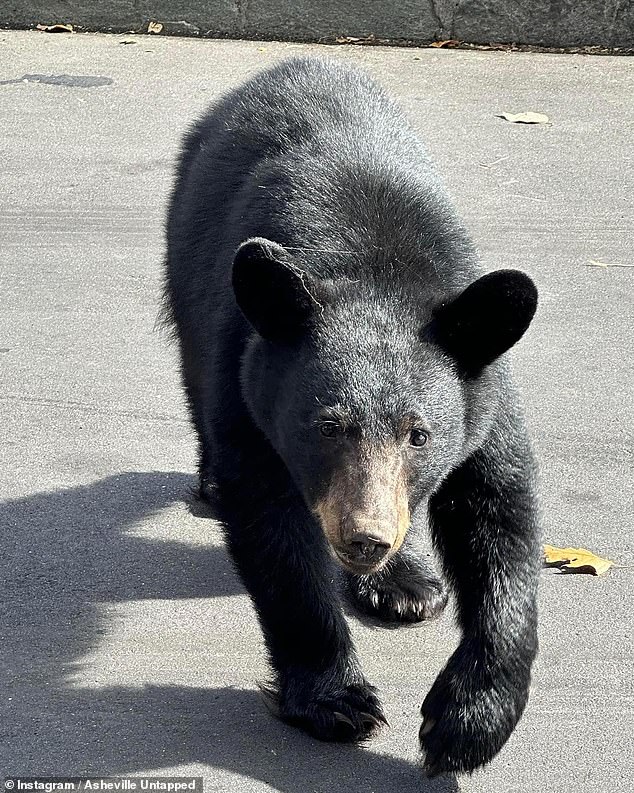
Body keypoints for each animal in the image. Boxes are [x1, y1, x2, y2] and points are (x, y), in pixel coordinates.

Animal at [163, 58, 540, 776]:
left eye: (419, 434)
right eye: (326, 426)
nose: (364, 537)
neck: (376, 270)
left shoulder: (485, 391)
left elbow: (499, 515)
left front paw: (465, 722)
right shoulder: (249, 378)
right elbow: (272, 529)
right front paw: (336, 699)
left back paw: (405, 583)